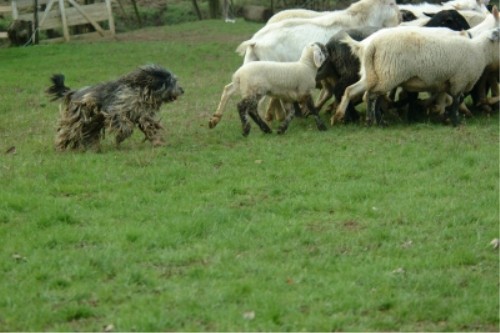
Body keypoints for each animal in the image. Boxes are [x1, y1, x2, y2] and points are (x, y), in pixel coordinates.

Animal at [46, 64, 184, 150]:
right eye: (172, 82)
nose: (182, 90)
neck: (141, 91)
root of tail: (73, 92)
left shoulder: (144, 116)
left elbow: (151, 129)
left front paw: (159, 143)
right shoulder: (116, 110)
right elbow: (125, 125)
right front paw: (121, 136)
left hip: (92, 123)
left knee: (87, 135)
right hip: (79, 119)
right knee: (67, 132)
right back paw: (60, 147)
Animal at [332, 26, 500, 126]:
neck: (480, 51)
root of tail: (368, 44)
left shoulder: (447, 82)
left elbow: (448, 100)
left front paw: (441, 115)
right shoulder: (459, 80)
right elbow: (455, 101)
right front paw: (456, 121)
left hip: (373, 75)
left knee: (356, 91)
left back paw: (354, 117)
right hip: (388, 75)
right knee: (373, 95)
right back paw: (376, 121)